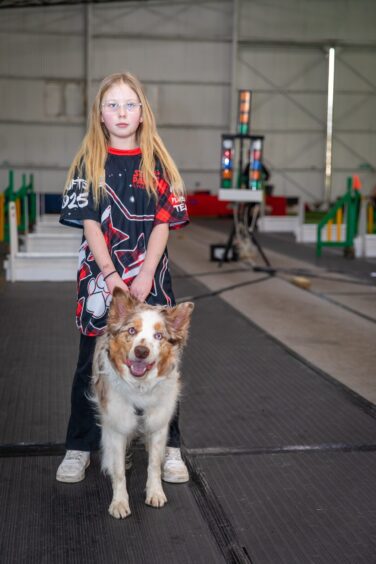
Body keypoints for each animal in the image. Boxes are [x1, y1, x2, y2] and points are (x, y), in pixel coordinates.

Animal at [92, 288, 194, 516]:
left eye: (158, 336)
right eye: (131, 331)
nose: (141, 351)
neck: (140, 387)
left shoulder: (158, 425)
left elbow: (154, 464)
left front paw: (155, 493)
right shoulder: (117, 426)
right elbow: (119, 471)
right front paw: (119, 502)